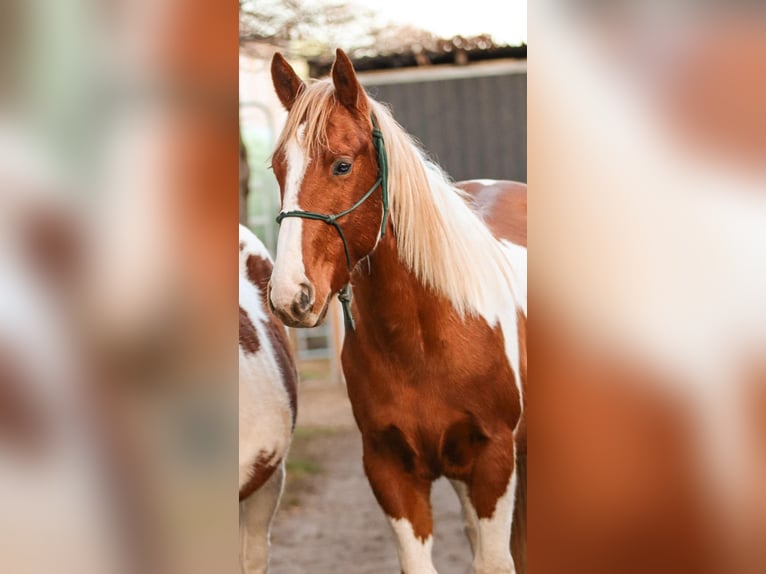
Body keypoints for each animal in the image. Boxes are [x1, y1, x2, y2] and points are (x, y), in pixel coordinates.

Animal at [267, 49, 527, 574]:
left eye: (342, 165)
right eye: (278, 169)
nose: (290, 295)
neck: (424, 337)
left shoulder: (495, 460)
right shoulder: (389, 468)